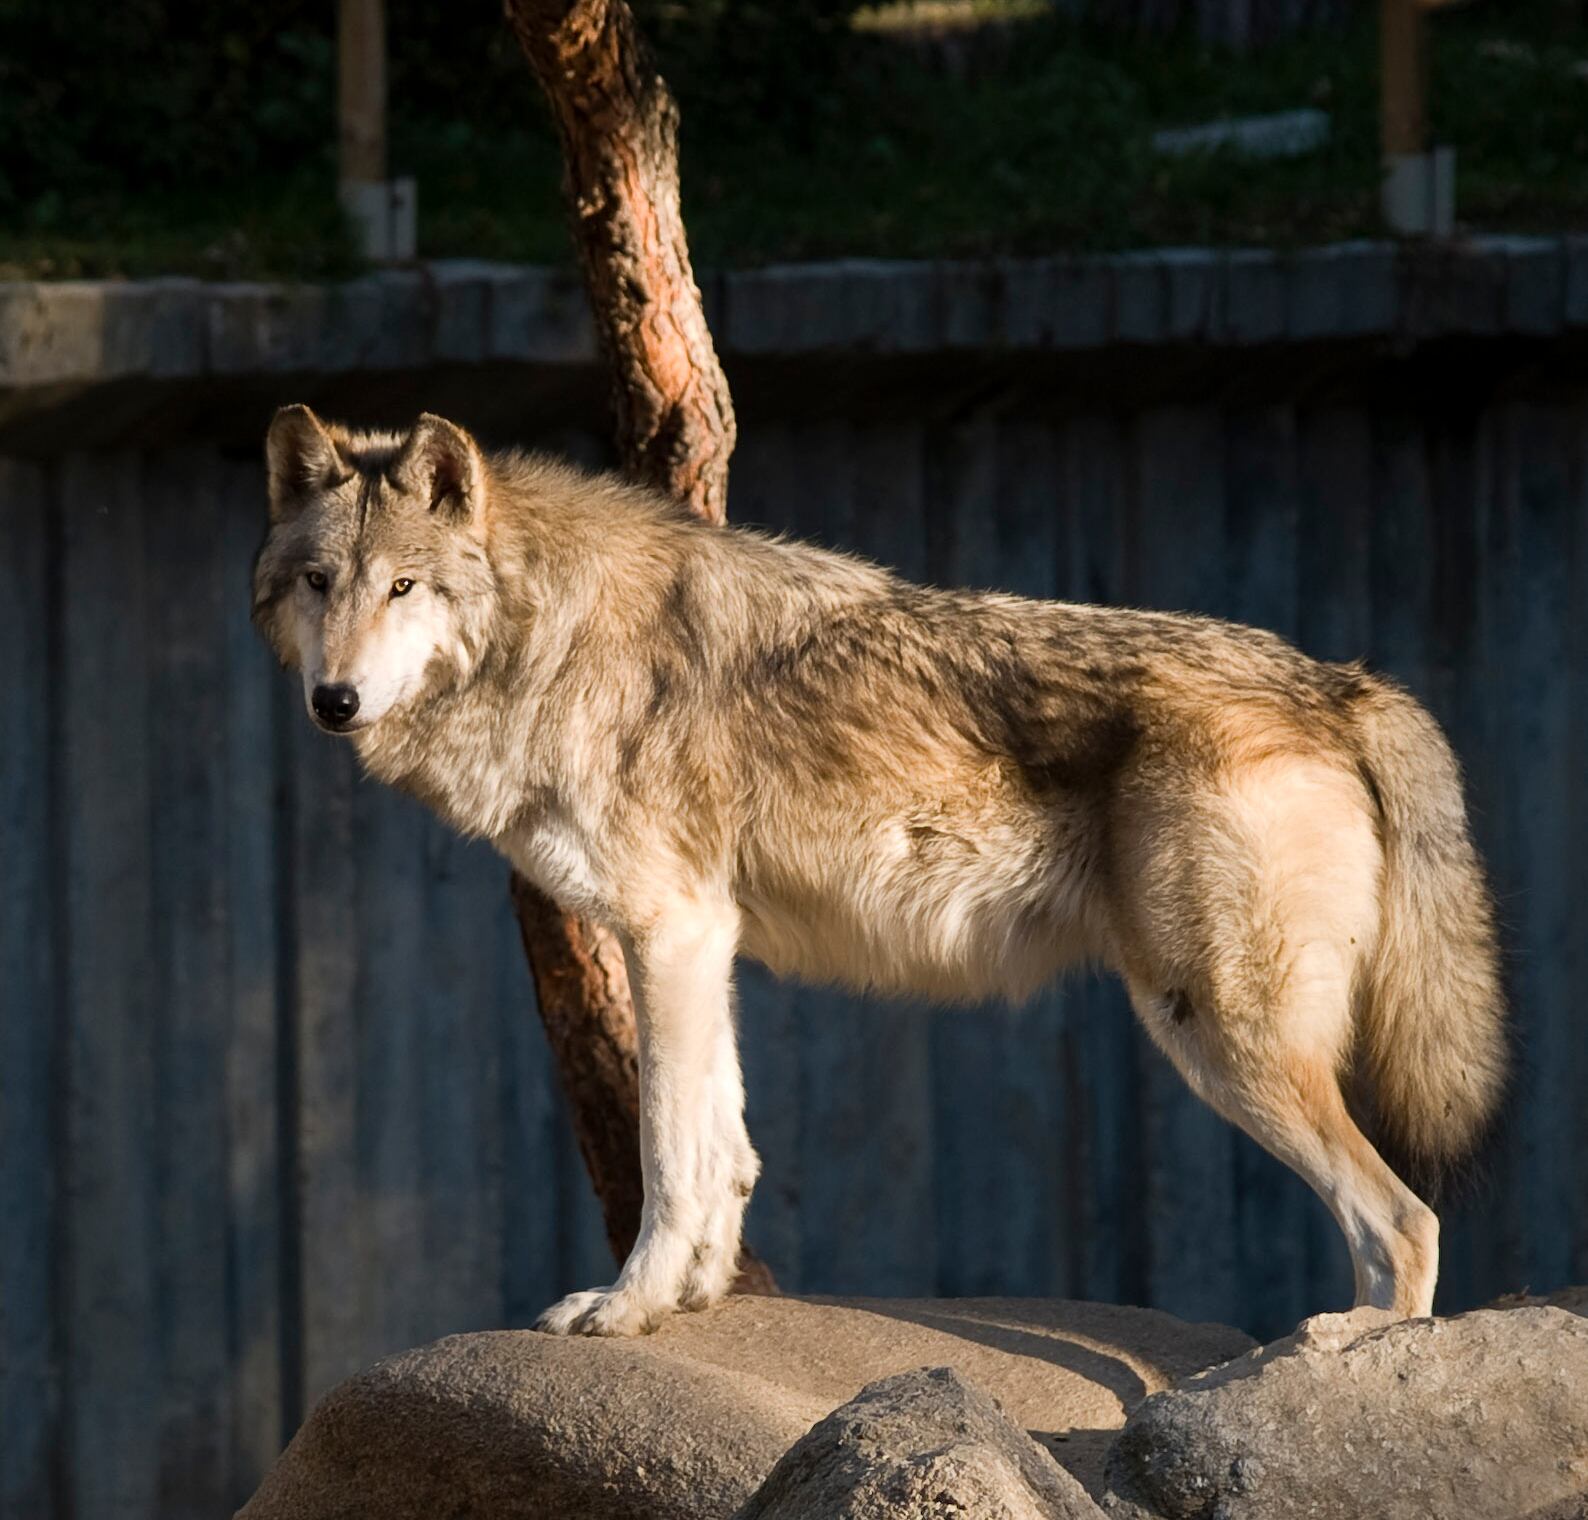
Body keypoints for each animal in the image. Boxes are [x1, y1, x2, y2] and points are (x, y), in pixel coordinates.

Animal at [253, 404, 1507, 1336]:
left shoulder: (665, 931)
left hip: (1217, 1029)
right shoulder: (699, 940)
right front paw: (697, 1297)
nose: (334, 701)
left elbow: (668, 1154)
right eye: (319, 581)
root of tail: (1339, 679)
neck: (547, 634)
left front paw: (627, 1304)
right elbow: (725, 1144)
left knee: (1406, 1219)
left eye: (403, 587)